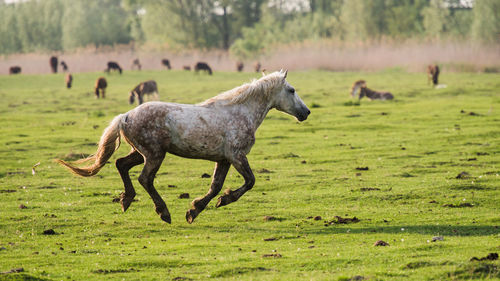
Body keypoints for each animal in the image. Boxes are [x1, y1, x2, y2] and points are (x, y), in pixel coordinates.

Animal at [56, 70, 310, 223]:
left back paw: (126, 200)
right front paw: (222, 201)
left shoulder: (223, 159)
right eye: (291, 90)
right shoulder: (237, 156)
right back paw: (163, 212)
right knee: (145, 179)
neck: (239, 112)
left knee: (121, 164)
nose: (306, 112)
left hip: (141, 153)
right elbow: (250, 181)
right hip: (154, 155)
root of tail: (125, 116)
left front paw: (195, 209)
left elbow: (215, 186)